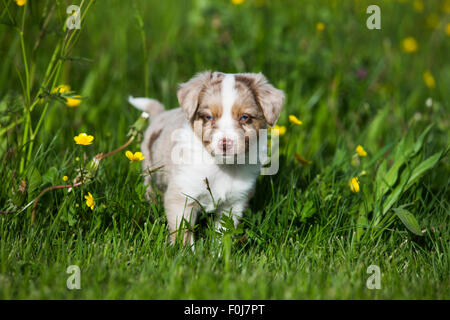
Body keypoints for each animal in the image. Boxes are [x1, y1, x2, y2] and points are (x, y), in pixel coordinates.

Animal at [129, 72, 284, 245]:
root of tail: (161, 114)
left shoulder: (234, 203)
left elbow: (223, 233)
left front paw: (218, 251)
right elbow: (183, 233)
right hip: (150, 171)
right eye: (209, 117)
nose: (225, 143)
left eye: (244, 117)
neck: (222, 166)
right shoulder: (182, 195)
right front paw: (184, 251)